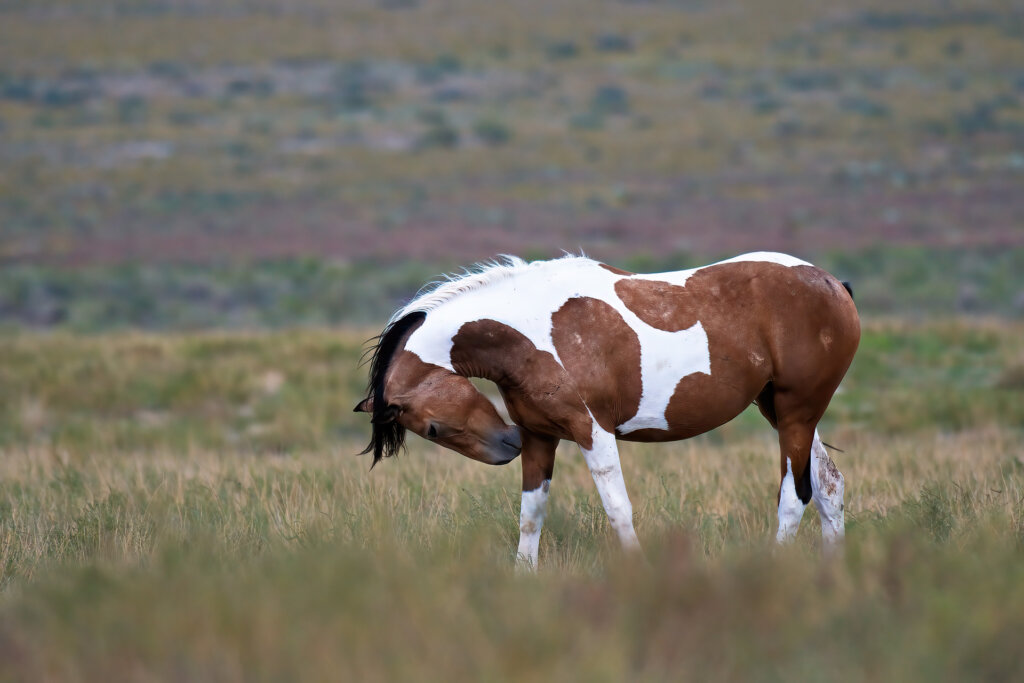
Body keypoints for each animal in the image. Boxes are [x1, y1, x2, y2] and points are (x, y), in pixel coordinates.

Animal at [356, 253, 860, 569]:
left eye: (432, 428)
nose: (506, 447)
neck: (528, 334)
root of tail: (834, 284)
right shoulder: (540, 437)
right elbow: (530, 515)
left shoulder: (591, 431)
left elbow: (618, 509)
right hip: (782, 411)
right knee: (829, 487)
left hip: (795, 414)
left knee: (795, 497)